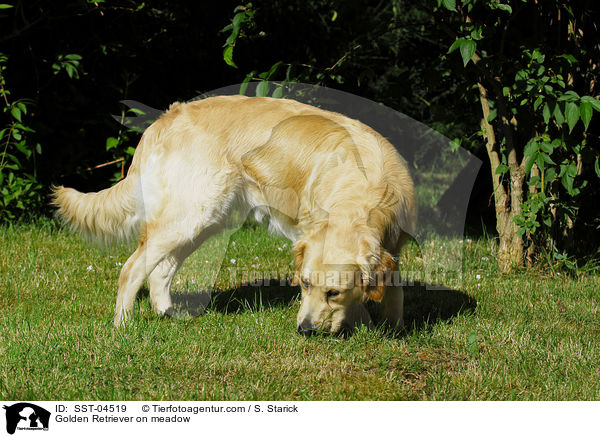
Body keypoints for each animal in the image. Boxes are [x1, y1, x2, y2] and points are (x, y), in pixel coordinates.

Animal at [51, 95, 414, 334]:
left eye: (333, 292)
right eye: (305, 284)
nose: (304, 329)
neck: (368, 187)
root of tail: (165, 118)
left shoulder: (394, 246)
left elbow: (394, 291)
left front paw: (394, 329)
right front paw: (366, 324)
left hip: (204, 222)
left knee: (161, 270)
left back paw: (168, 313)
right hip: (192, 215)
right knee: (131, 269)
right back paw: (123, 325)